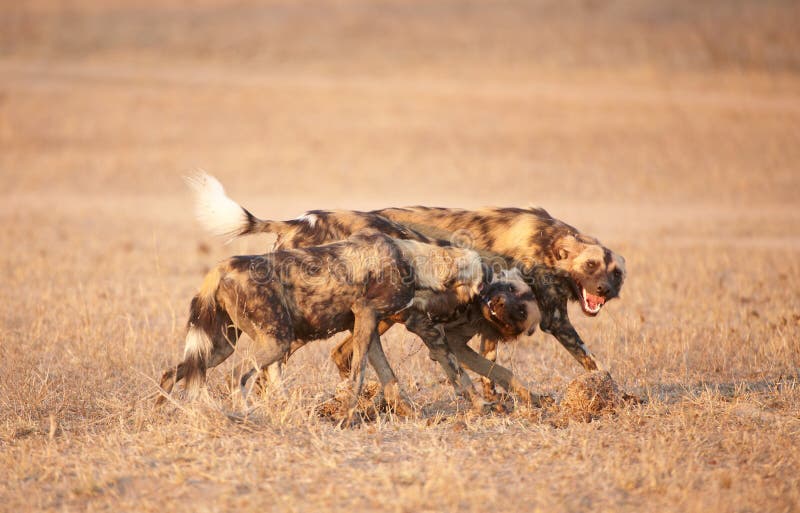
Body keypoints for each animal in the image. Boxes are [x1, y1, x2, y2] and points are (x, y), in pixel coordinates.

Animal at [156, 230, 482, 422]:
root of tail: (221, 267)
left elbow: (389, 379)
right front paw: (347, 418)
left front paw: (410, 414)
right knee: (236, 377)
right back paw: (242, 415)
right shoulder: (366, 316)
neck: (412, 260)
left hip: (221, 347)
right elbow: (358, 376)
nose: (484, 305)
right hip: (275, 343)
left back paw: (161, 410)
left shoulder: (367, 329)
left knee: (176, 371)